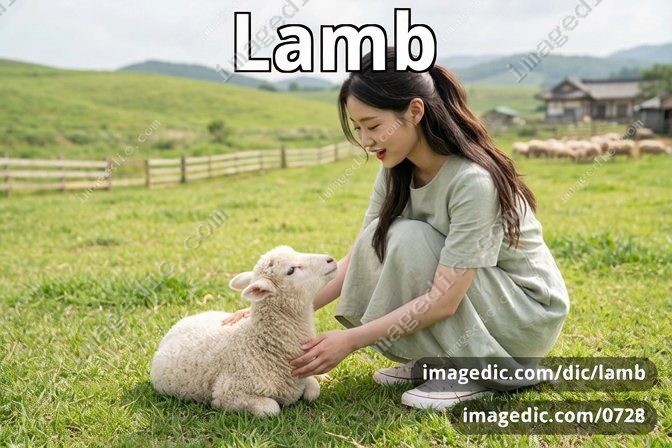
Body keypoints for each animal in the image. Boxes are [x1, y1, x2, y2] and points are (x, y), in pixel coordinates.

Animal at [149, 245, 338, 417]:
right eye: (290, 270)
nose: (331, 259)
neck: (261, 342)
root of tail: (180, 322)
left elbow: (313, 391)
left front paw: (317, 380)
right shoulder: (228, 393)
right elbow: (271, 408)